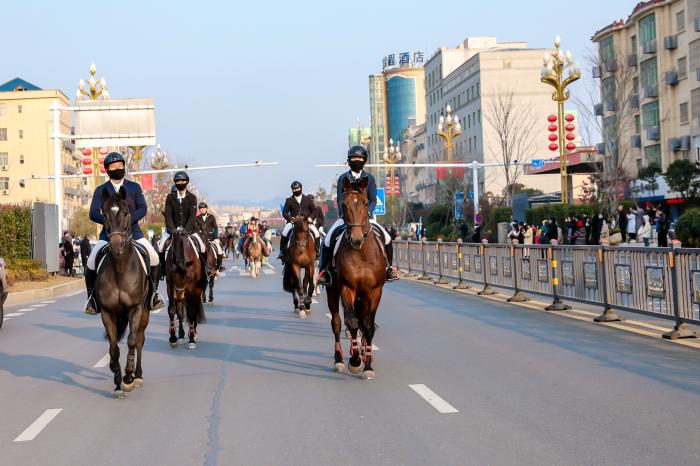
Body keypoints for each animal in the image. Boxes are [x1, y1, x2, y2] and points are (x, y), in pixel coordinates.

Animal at [95, 187, 151, 398]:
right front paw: (118, 379)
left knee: (140, 339)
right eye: (104, 214)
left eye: (127, 213)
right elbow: (113, 347)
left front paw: (128, 377)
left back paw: (138, 376)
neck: (120, 267)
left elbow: (132, 341)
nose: (117, 245)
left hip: (145, 311)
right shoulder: (107, 312)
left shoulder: (136, 308)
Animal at [326, 177, 386, 380]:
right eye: (343, 205)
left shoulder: (374, 291)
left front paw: (367, 365)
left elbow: (367, 325)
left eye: (366, 203)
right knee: (337, 322)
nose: (356, 239)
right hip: (333, 290)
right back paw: (339, 359)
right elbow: (352, 322)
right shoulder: (347, 288)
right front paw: (355, 361)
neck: (362, 253)